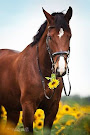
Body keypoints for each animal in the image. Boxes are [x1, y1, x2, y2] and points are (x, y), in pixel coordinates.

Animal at [0, 6, 72, 135]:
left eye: (69, 36)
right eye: (50, 37)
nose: (60, 69)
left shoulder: (52, 109)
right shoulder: (28, 108)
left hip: (12, 110)